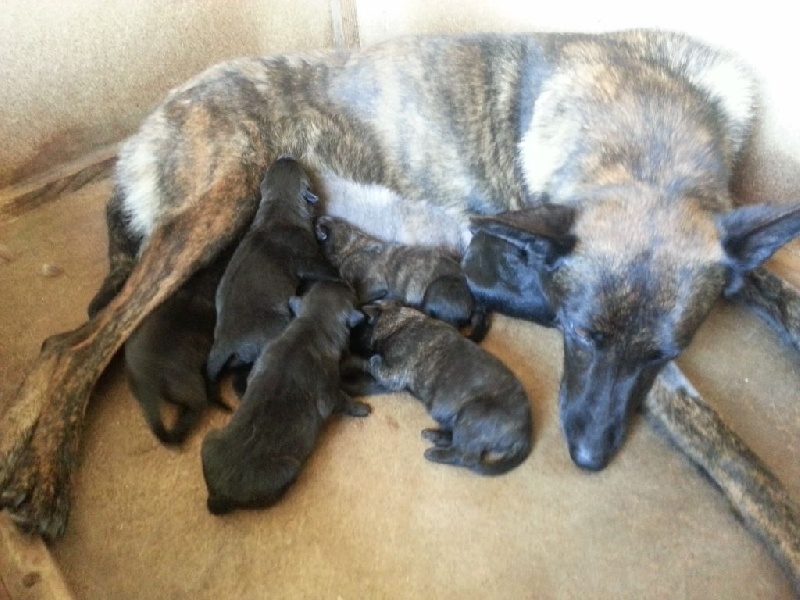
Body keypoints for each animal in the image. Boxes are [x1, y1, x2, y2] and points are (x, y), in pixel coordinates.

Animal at [203, 278, 372, 512]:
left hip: (208, 440)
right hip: (288, 467)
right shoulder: (329, 395)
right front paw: (362, 408)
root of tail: (219, 495)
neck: (312, 322)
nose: (341, 280)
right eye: (352, 295)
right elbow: (345, 400)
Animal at [346, 302, 536, 476]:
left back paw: (435, 454)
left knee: (465, 457)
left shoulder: (390, 374)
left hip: (472, 414)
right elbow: (366, 381)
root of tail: (526, 433)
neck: (399, 323)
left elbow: (369, 360)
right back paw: (435, 436)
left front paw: (351, 361)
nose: (345, 345)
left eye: (355, 332)